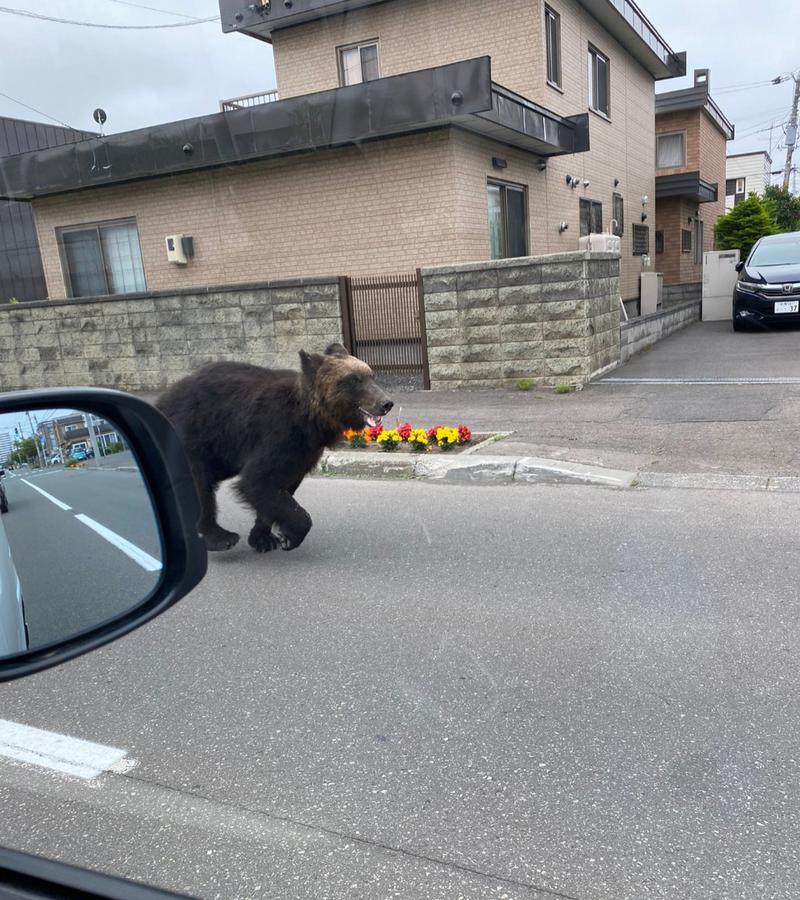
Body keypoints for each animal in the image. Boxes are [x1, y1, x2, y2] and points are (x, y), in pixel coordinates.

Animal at [155, 344, 392, 552]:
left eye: (371, 375)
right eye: (354, 380)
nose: (386, 403)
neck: (311, 421)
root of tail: (161, 400)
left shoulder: (303, 452)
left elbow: (277, 488)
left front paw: (265, 538)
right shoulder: (276, 433)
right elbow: (258, 479)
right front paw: (291, 535)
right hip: (192, 435)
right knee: (198, 486)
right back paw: (220, 537)